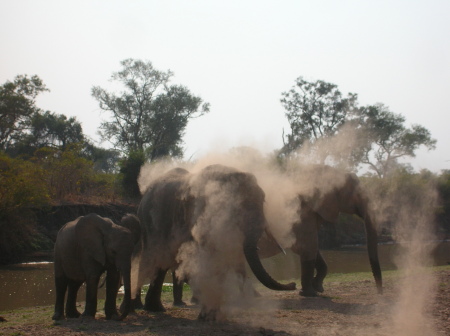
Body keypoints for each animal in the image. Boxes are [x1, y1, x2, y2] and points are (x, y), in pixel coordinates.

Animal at [132, 165, 296, 320]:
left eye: (263, 200)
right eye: (237, 207)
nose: (293, 284)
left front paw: (213, 315)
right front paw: (208, 315)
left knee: (162, 262)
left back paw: (155, 308)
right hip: (148, 222)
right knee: (152, 258)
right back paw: (141, 307)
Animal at [258, 165, 382, 296]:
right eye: (357, 194)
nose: (380, 292)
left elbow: (311, 249)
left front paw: (318, 288)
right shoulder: (302, 214)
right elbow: (308, 247)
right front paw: (309, 293)